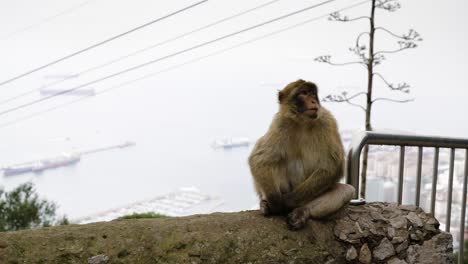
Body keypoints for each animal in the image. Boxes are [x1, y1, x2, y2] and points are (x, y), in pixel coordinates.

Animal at [249, 79, 354, 230]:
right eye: (303, 93)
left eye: (312, 93)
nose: (313, 101)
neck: (302, 122)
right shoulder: (280, 122)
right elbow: (259, 159)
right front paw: (274, 201)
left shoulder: (326, 120)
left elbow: (332, 166)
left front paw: (286, 201)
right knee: (275, 161)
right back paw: (265, 204)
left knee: (346, 190)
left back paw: (301, 211)